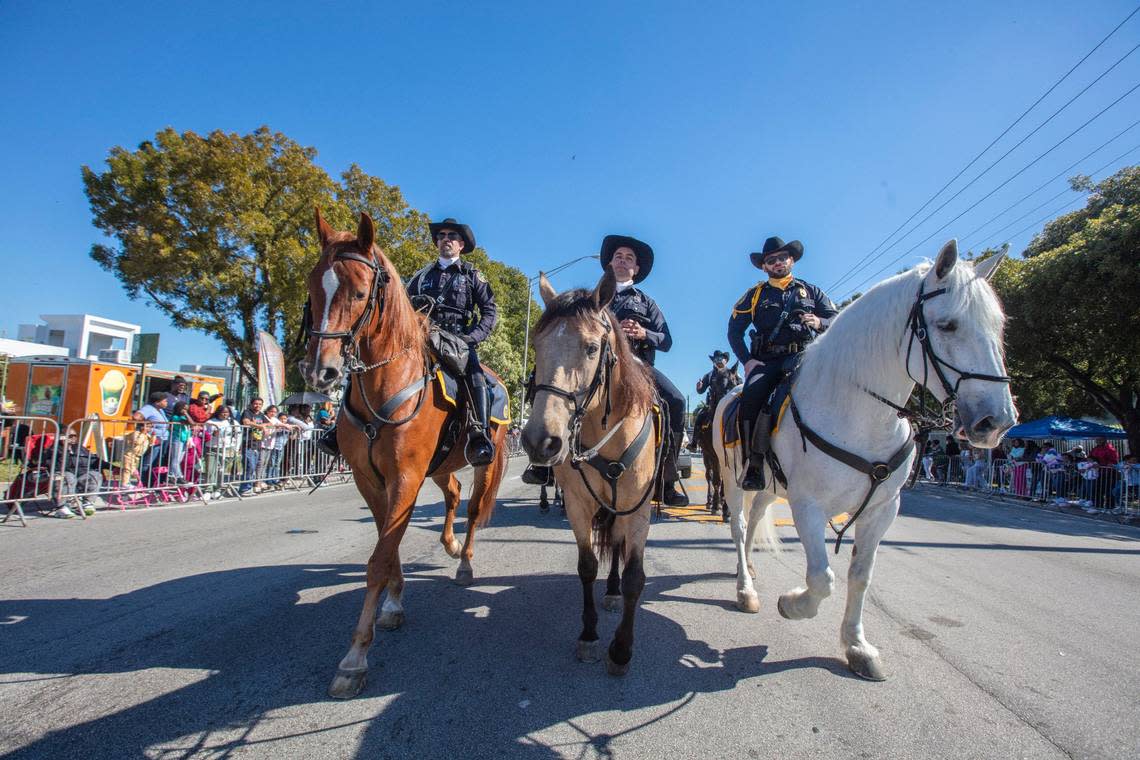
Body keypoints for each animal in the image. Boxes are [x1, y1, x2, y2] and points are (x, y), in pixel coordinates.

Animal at [300, 210, 506, 697]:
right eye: (313, 287)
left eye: (360, 292)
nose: (321, 371)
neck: (384, 381)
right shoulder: (370, 479)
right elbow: (386, 546)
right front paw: (393, 605)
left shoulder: (405, 478)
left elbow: (378, 559)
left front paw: (354, 658)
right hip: (441, 466)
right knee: (452, 494)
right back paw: (449, 544)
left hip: (485, 464)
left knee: (472, 508)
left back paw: (464, 563)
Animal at [522, 273, 661, 679]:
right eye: (537, 345)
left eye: (590, 348)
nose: (540, 441)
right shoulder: (578, 505)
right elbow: (586, 566)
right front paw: (589, 635)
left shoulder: (638, 509)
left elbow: (635, 577)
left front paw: (622, 650)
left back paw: (614, 593)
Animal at [688, 360, 743, 519]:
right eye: (713, 383)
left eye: (735, 382)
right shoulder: (714, 455)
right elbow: (717, 480)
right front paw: (717, 506)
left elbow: (726, 481)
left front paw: (727, 508)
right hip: (706, 455)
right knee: (709, 476)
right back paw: (710, 501)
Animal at [711, 240, 1016, 679]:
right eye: (947, 325)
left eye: (998, 327)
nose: (996, 422)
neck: (858, 410)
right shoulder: (807, 505)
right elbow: (822, 578)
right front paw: (792, 604)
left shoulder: (882, 509)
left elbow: (860, 576)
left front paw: (857, 646)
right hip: (732, 478)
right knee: (737, 525)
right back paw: (744, 589)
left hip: (769, 485)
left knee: (754, 520)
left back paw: (748, 569)